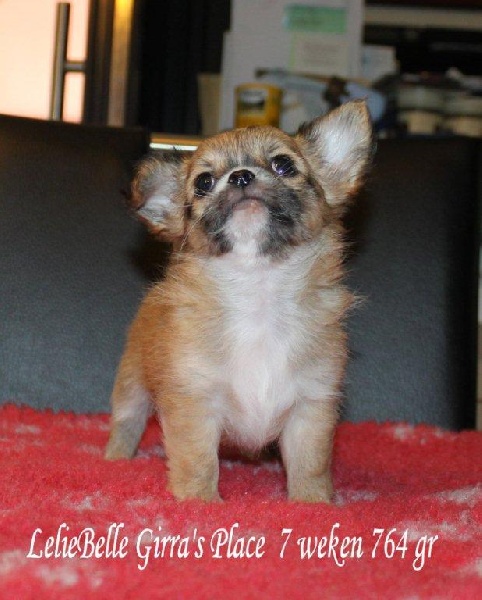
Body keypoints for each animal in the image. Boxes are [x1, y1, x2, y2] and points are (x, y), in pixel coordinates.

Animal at [105, 100, 373, 502]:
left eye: (283, 165)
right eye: (203, 183)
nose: (242, 176)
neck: (258, 290)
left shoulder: (311, 405)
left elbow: (310, 463)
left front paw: (313, 503)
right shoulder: (194, 401)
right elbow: (198, 461)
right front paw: (199, 501)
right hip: (132, 384)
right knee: (126, 422)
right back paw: (116, 459)